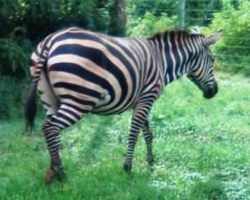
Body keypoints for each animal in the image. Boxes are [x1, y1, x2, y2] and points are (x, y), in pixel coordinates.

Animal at [24, 26, 221, 183]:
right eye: (212, 60)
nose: (215, 92)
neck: (162, 61)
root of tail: (50, 41)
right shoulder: (147, 97)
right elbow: (134, 133)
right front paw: (128, 168)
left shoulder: (141, 100)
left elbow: (148, 133)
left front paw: (151, 163)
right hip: (79, 100)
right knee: (49, 127)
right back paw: (61, 174)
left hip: (50, 99)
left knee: (52, 132)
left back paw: (52, 172)